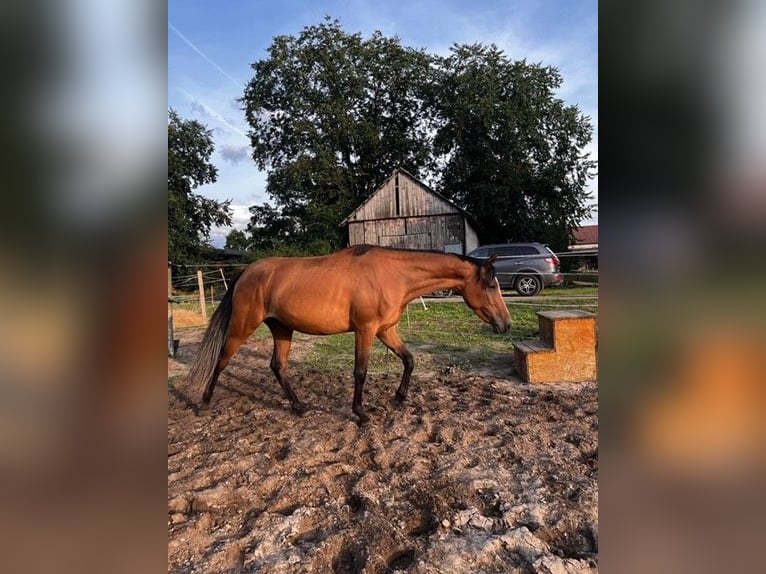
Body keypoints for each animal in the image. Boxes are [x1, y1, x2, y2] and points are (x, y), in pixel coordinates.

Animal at [187, 245, 512, 426]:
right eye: (492, 285)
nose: (506, 324)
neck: (393, 275)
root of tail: (246, 271)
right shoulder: (365, 330)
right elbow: (360, 372)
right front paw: (361, 414)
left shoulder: (385, 330)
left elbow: (409, 360)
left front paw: (398, 398)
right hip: (244, 325)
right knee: (222, 359)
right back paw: (204, 402)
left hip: (282, 328)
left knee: (278, 367)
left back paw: (299, 407)